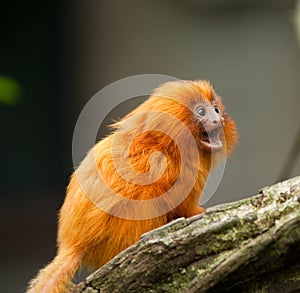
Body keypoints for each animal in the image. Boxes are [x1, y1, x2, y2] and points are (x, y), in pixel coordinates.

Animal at [26, 80, 237, 292]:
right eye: (201, 112)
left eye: (216, 109)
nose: (217, 119)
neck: (167, 143)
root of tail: (75, 243)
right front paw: (197, 213)